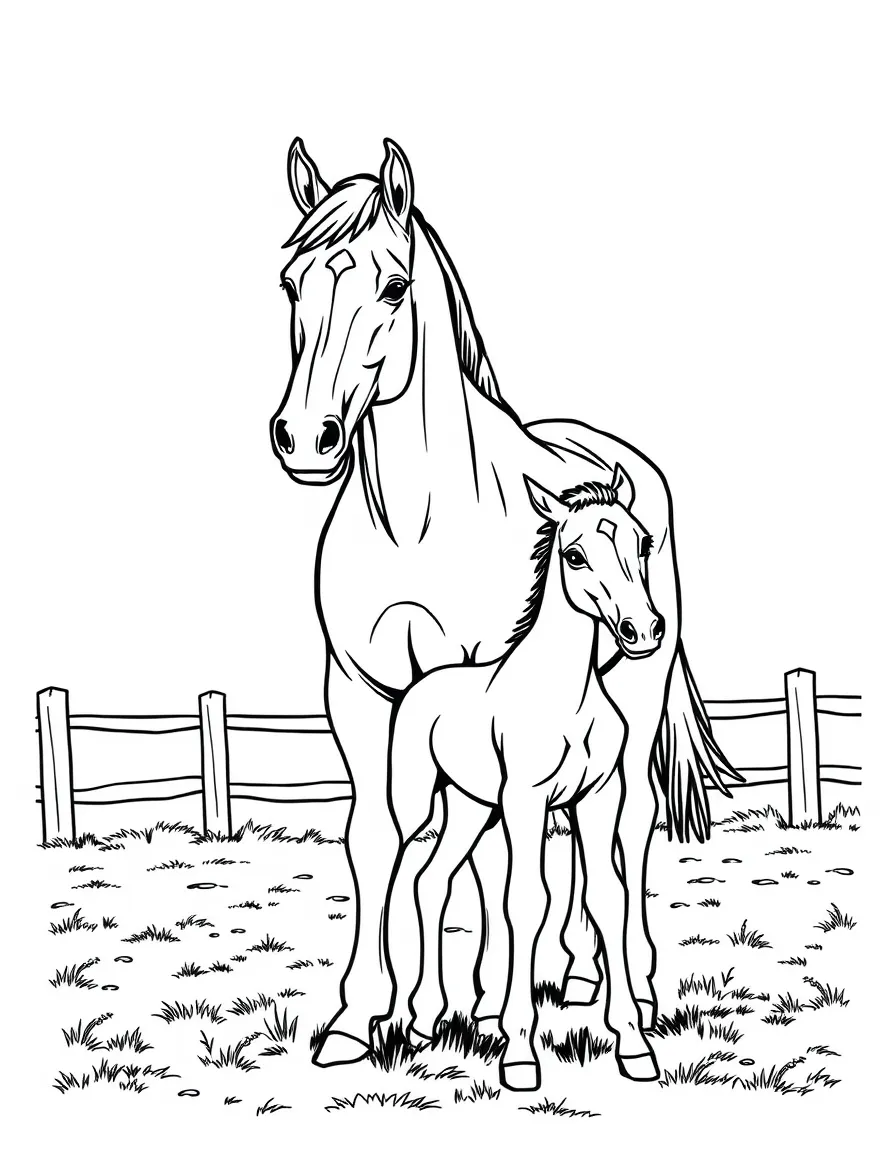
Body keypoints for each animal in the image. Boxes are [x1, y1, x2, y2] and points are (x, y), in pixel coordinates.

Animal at [390, 468, 663, 1090]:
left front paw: (634, 1045)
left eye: (642, 544)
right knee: (401, 873)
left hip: (470, 809)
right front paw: (518, 1052)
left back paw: (425, 1022)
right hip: (418, 808)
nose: (644, 631)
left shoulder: (598, 799)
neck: (565, 695)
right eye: (575, 555)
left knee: (433, 881)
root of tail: (420, 679)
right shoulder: (525, 803)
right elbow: (526, 901)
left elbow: (607, 895)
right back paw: (404, 1018)